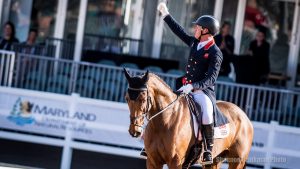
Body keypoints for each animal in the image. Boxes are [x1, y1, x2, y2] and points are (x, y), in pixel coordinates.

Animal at [124, 69, 253, 168]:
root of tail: (244, 116)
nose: (134, 131)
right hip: (214, 161)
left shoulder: (175, 162)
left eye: (142, 99)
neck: (164, 121)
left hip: (237, 161)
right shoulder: (153, 161)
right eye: (127, 98)